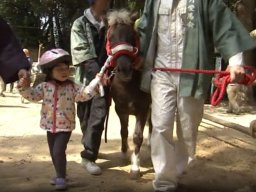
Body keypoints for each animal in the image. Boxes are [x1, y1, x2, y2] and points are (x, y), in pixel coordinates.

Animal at [104, 9, 151, 178]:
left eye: (132, 36)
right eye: (110, 38)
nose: (124, 70)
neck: (128, 85)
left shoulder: (142, 110)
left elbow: (137, 137)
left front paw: (135, 166)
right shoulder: (121, 109)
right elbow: (123, 132)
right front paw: (124, 155)